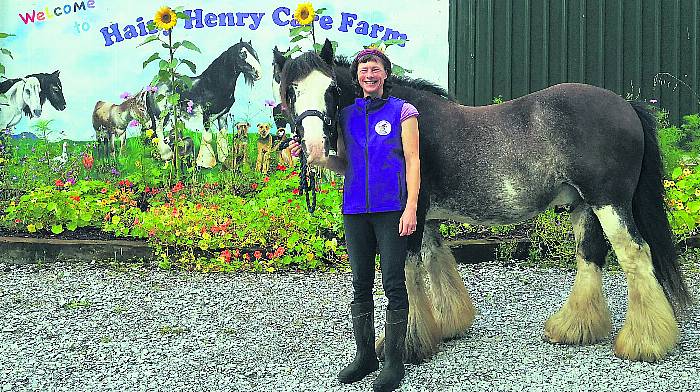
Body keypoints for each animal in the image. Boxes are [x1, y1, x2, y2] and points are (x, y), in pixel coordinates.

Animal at [274, 39, 696, 362]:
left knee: (634, 253)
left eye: (331, 90)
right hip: (582, 205)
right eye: (290, 91)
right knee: (590, 254)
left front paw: (408, 346)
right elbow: (438, 263)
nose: (313, 146)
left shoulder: (408, 219)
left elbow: (409, 276)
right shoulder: (427, 219)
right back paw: (574, 328)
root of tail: (626, 106)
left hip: (609, 202)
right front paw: (448, 324)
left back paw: (643, 343)